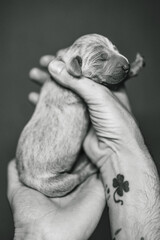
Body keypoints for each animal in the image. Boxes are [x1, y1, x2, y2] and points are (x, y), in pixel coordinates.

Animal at [15, 34, 144, 199]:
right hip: (56, 183)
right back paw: (88, 167)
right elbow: (114, 82)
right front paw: (135, 66)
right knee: (75, 178)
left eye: (115, 49)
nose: (126, 65)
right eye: (102, 58)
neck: (67, 59)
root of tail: (24, 178)